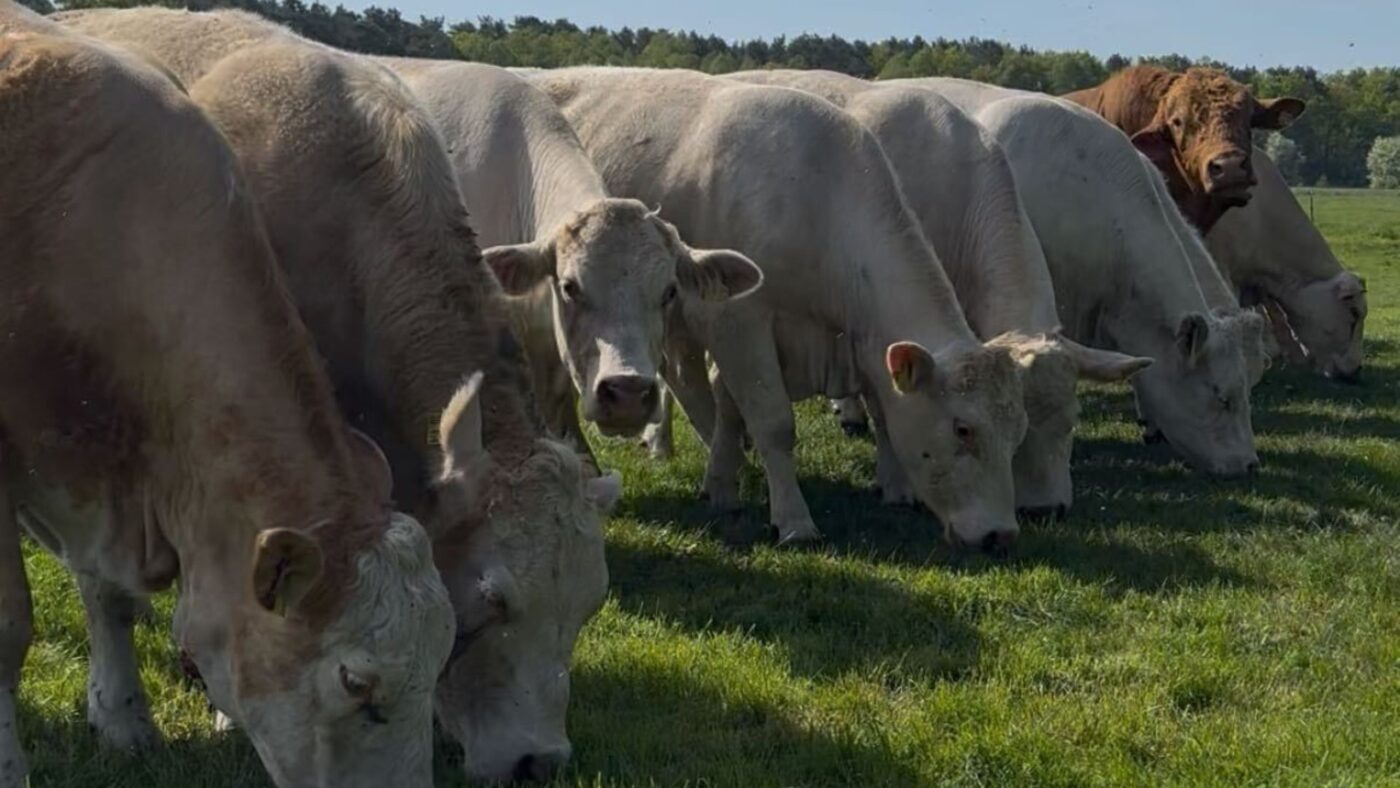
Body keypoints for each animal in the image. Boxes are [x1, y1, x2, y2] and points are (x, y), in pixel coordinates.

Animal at [530, 67, 1031, 551]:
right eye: (963, 429)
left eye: (1018, 431)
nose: (1000, 534)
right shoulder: (738, 321)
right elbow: (771, 422)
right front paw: (793, 519)